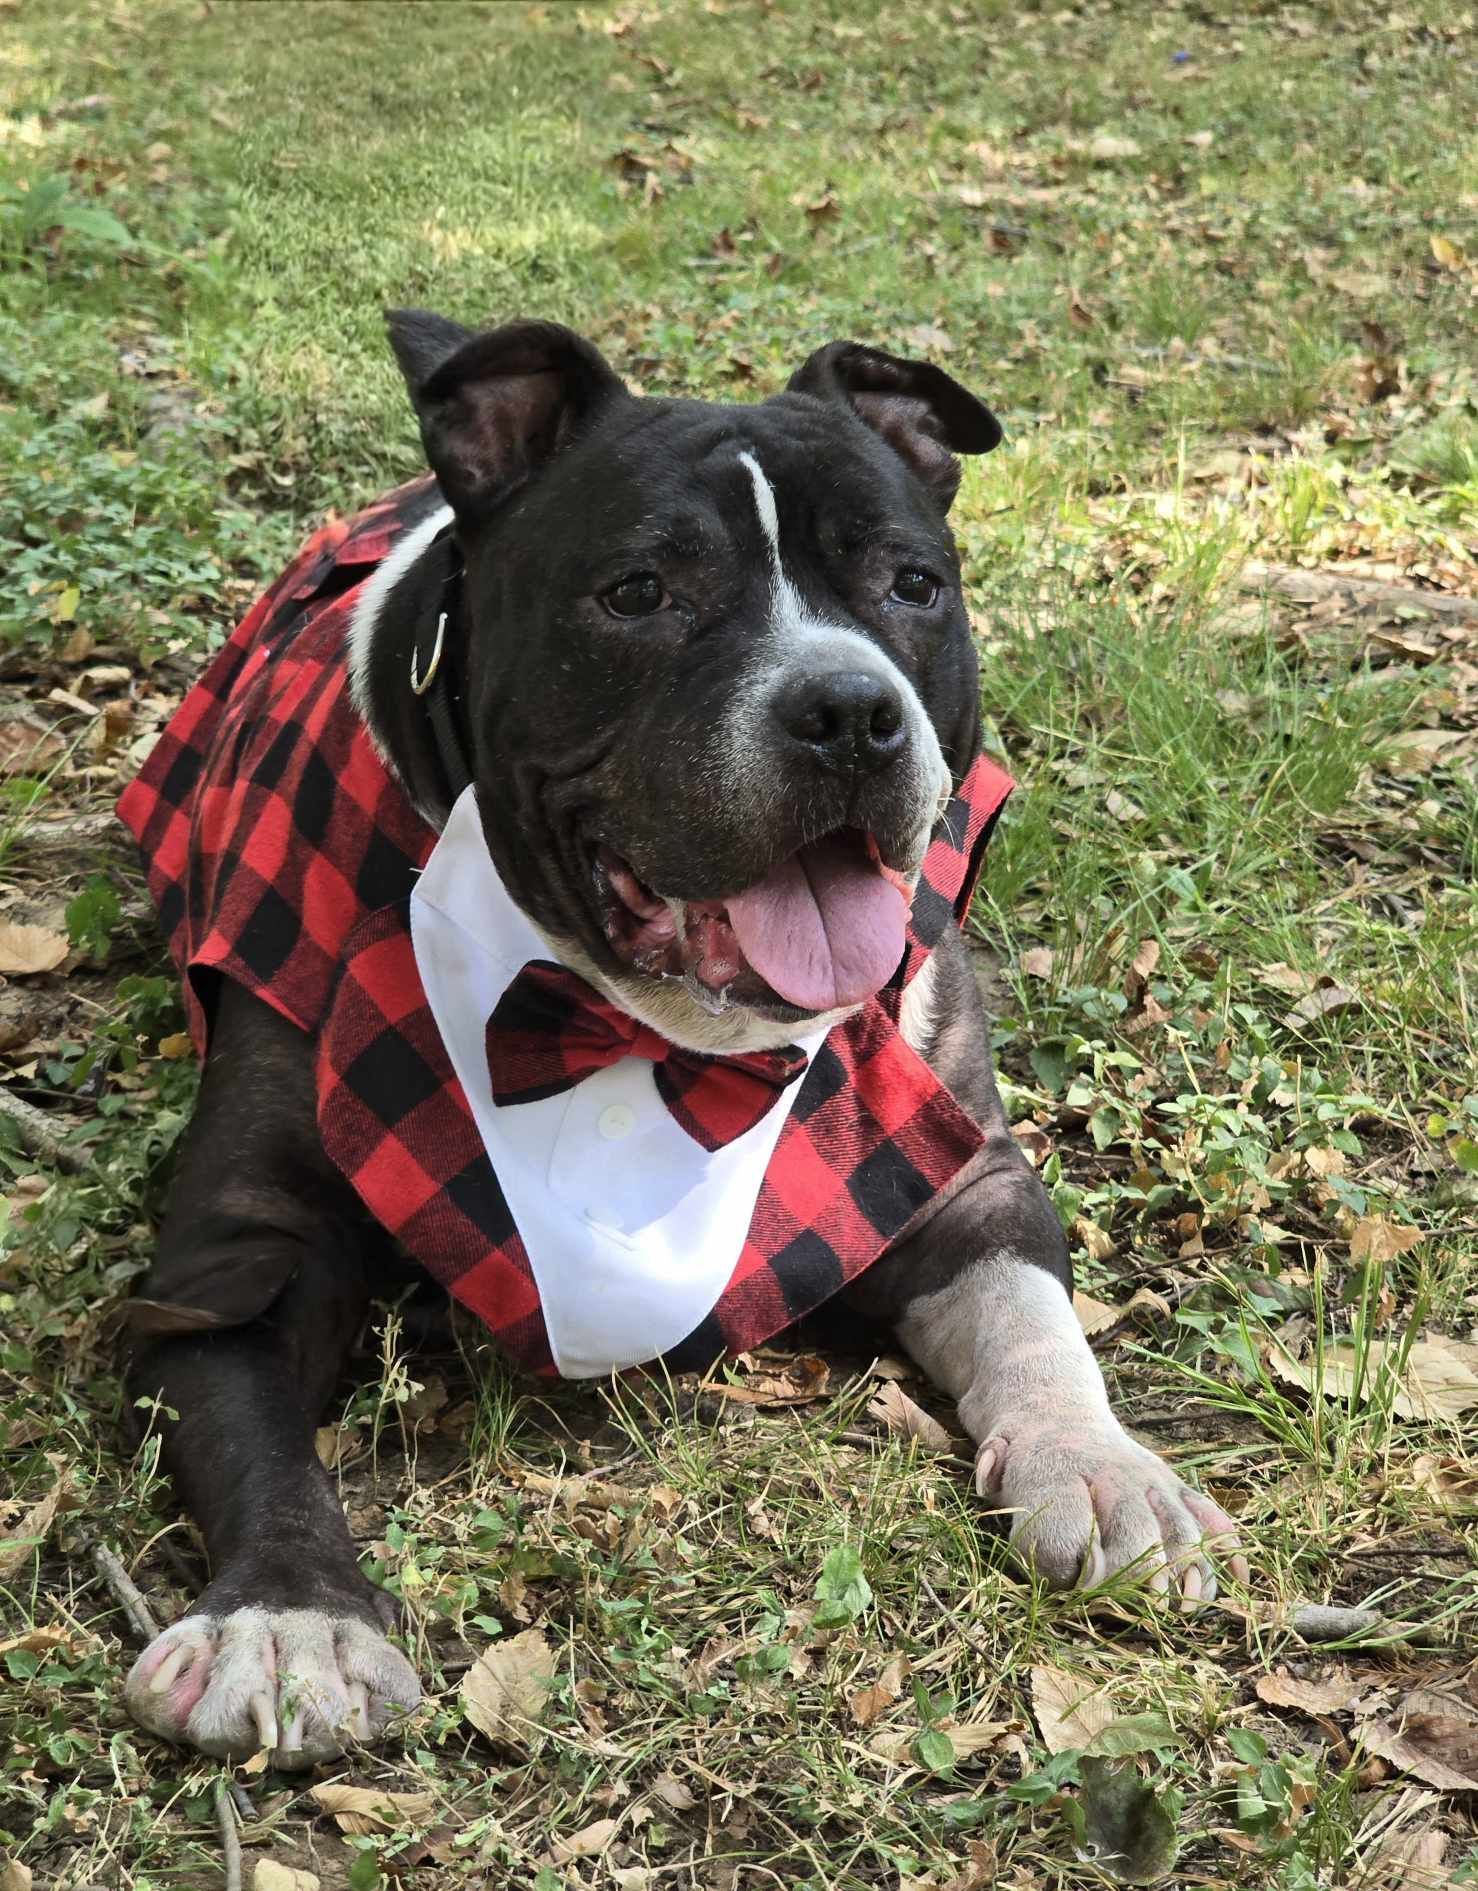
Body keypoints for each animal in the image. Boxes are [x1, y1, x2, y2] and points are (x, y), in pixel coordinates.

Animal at [118, 313, 1247, 1769]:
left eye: (912, 583)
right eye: (638, 590)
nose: (848, 710)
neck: (628, 1020)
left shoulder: (955, 1170)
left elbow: (1029, 1312)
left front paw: (1100, 1464)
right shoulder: (238, 1257)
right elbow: (254, 1428)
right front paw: (282, 1614)